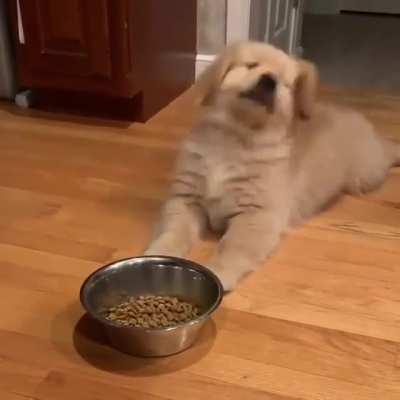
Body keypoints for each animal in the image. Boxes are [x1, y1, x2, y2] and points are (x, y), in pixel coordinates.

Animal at [145, 41, 400, 291]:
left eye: (283, 81)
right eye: (251, 65)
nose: (269, 80)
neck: (236, 138)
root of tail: (359, 118)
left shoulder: (257, 215)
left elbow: (234, 247)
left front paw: (219, 272)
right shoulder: (186, 199)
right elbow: (173, 231)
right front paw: (159, 253)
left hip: (366, 174)